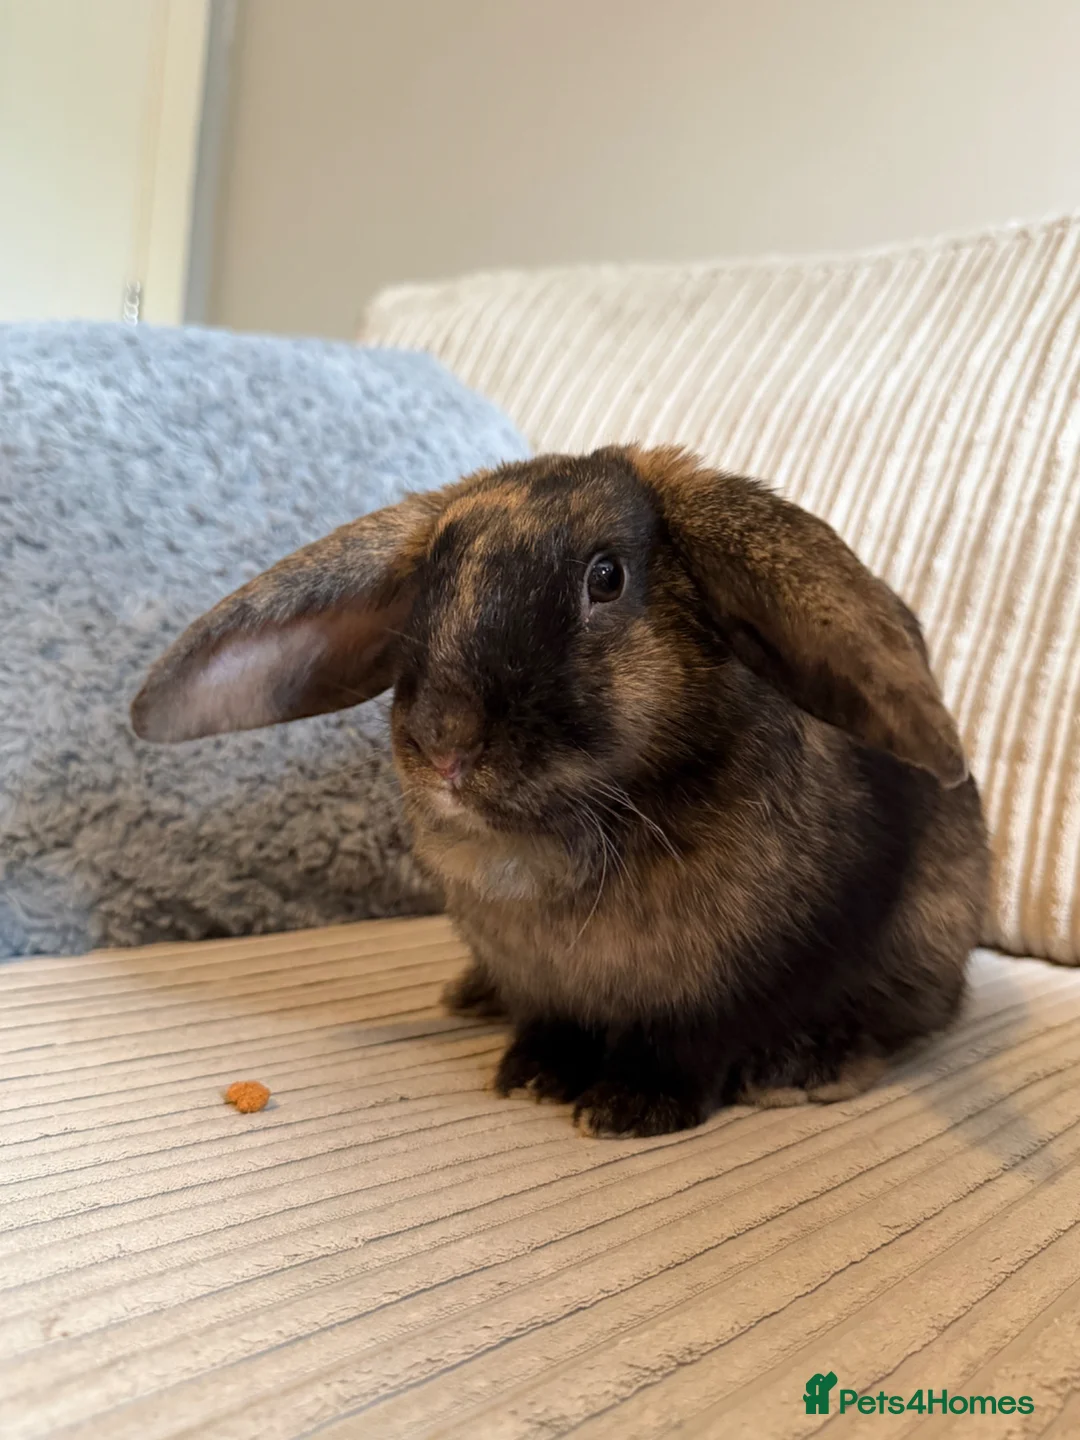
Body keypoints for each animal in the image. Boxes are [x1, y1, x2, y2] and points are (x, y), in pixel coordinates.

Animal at [132, 445, 989, 1137]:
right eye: (428, 586)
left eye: (605, 577)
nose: (444, 742)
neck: (555, 837)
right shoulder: (544, 987)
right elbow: (554, 1027)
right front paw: (537, 1079)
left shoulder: (736, 986)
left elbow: (690, 1044)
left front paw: (629, 1110)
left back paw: (808, 1069)